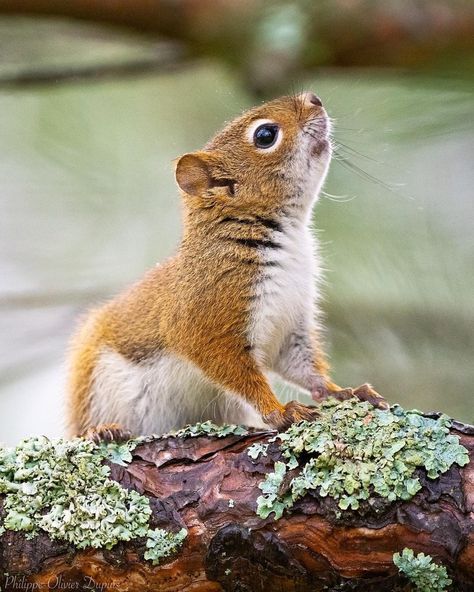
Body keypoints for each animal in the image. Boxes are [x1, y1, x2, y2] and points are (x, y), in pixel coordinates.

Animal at [66, 89, 386, 440]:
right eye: (265, 135)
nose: (313, 98)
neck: (287, 240)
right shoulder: (207, 314)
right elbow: (235, 371)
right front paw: (279, 411)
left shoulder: (291, 322)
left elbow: (303, 368)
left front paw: (343, 391)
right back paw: (101, 431)